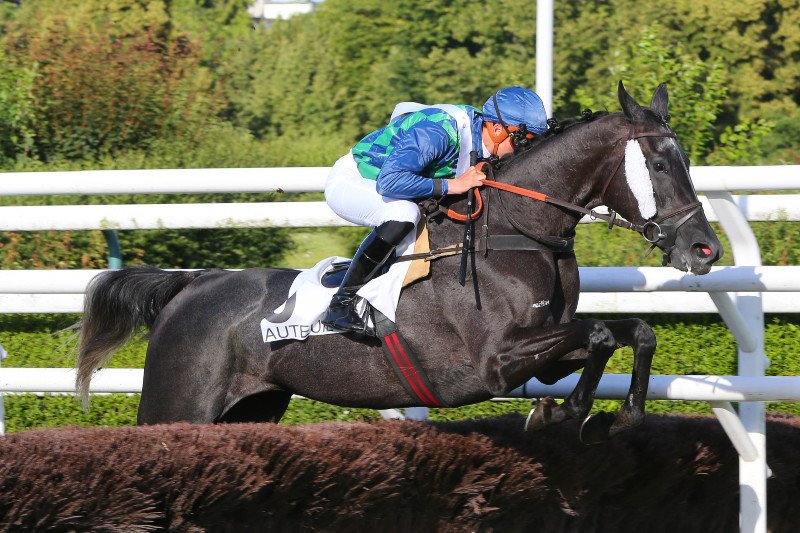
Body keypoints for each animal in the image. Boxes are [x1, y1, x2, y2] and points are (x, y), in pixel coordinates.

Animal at [76, 82, 722, 443]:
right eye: (660, 164)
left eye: (687, 161)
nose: (704, 249)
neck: (516, 234)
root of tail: (188, 288)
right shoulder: (494, 363)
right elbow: (599, 336)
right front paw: (565, 413)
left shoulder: (541, 351)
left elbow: (630, 332)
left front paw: (613, 415)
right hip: (176, 404)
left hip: (252, 409)